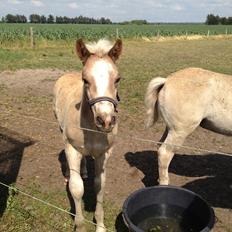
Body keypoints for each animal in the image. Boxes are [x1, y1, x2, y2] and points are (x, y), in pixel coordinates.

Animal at [53, 39, 122, 231]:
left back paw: (83, 171)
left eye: (117, 79)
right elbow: (77, 188)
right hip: (62, 133)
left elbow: (100, 185)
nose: (106, 120)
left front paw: (100, 225)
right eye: (85, 79)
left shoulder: (103, 154)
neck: (91, 128)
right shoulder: (72, 148)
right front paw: (80, 225)